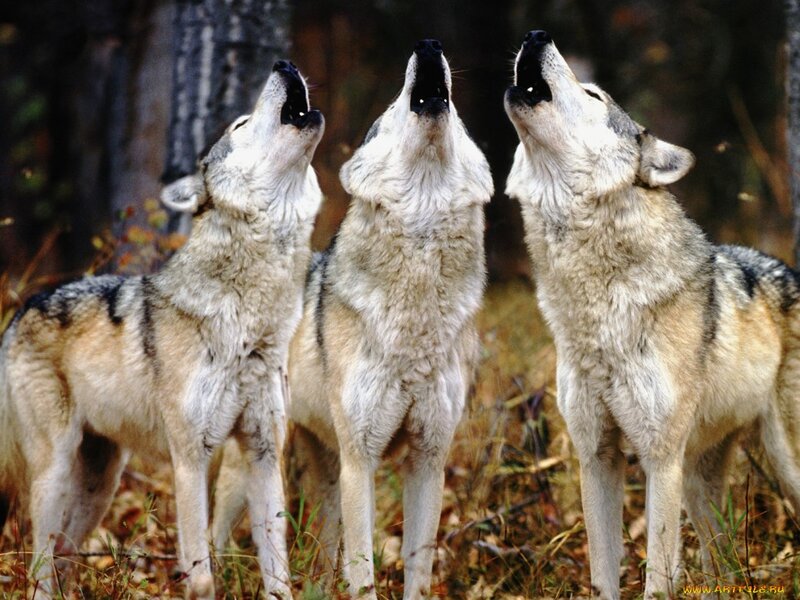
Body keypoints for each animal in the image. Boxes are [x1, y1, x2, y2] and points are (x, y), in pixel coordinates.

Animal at [0, 59, 324, 599]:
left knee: (65, 555)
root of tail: (23, 309)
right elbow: (202, 575)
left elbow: (278, 573)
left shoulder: (262, 452)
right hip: (54, 474)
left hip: (101, 484)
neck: (251, 321)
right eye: (239, 124)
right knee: (40, 567)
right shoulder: (189, 458)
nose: (285, 64)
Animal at [212, 39, 493, 599]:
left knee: (322, 559)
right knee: (214, 533)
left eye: (460, 117)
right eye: (391, 108)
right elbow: (363, 573)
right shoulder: (361, 460)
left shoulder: (428, 460)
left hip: (325, 469)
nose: (428, 45)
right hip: (259, 463)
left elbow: (418, 571)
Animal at [504, 30, 800, 599]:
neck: (597, 310)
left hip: (775, 462)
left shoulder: (660, 459)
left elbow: (658, 575)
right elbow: (603, 573)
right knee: (722, 559)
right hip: (701, 480)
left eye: (594, 94)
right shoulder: (596, 456)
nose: (535, 35)